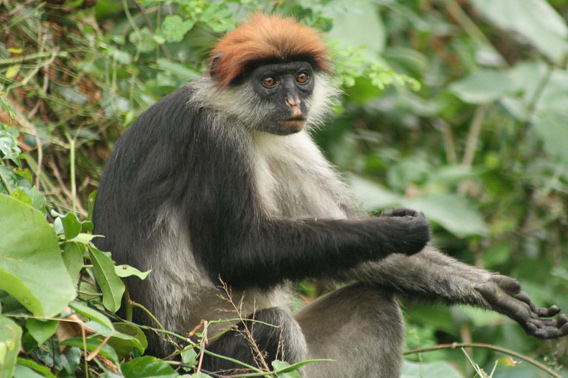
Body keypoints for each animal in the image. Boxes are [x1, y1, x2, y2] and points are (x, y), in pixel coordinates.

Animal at [94, 13, 568, 376]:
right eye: (270, 81)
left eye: (301, 78)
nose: (292, 103)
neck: (244, 120)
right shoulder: (213, 136)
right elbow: (238, 254)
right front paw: (394, 231)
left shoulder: (290, 138)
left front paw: (494, 291)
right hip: (193, 362)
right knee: (275, 326)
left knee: (372, 301)